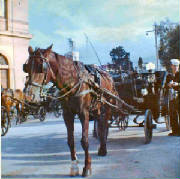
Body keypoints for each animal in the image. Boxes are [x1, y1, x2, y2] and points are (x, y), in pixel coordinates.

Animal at [23, 44, 120, 176]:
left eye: (41, 67)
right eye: (26, 67)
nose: (29, 96)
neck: (72, 82)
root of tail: (109, 76)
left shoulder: (84, 113)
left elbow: (85, 141)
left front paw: (87, 167)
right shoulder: (67, 114)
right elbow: (70, 141)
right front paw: (74, 167)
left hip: (108, 106)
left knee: (104, 124)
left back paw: (103, 149)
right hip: (97, 108)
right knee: (100, 124)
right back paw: (102, 148)